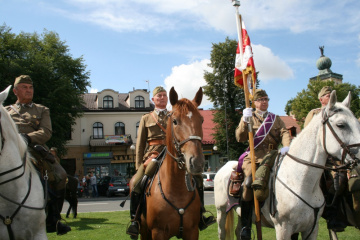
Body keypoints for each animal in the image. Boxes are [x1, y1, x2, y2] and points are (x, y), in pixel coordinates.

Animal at [138, 87, 205, 239]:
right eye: (175, 121)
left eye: (202, 120)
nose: (197, 163)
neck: (177, 188)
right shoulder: (158, 232)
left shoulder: (192, 231)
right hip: (144, 230)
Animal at [215, 90, 360, 240]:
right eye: (341, 125)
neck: (302, 182)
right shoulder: (283, 228)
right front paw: (246, 114)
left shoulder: (311, 229)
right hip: (221, 211)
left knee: (239, 230)